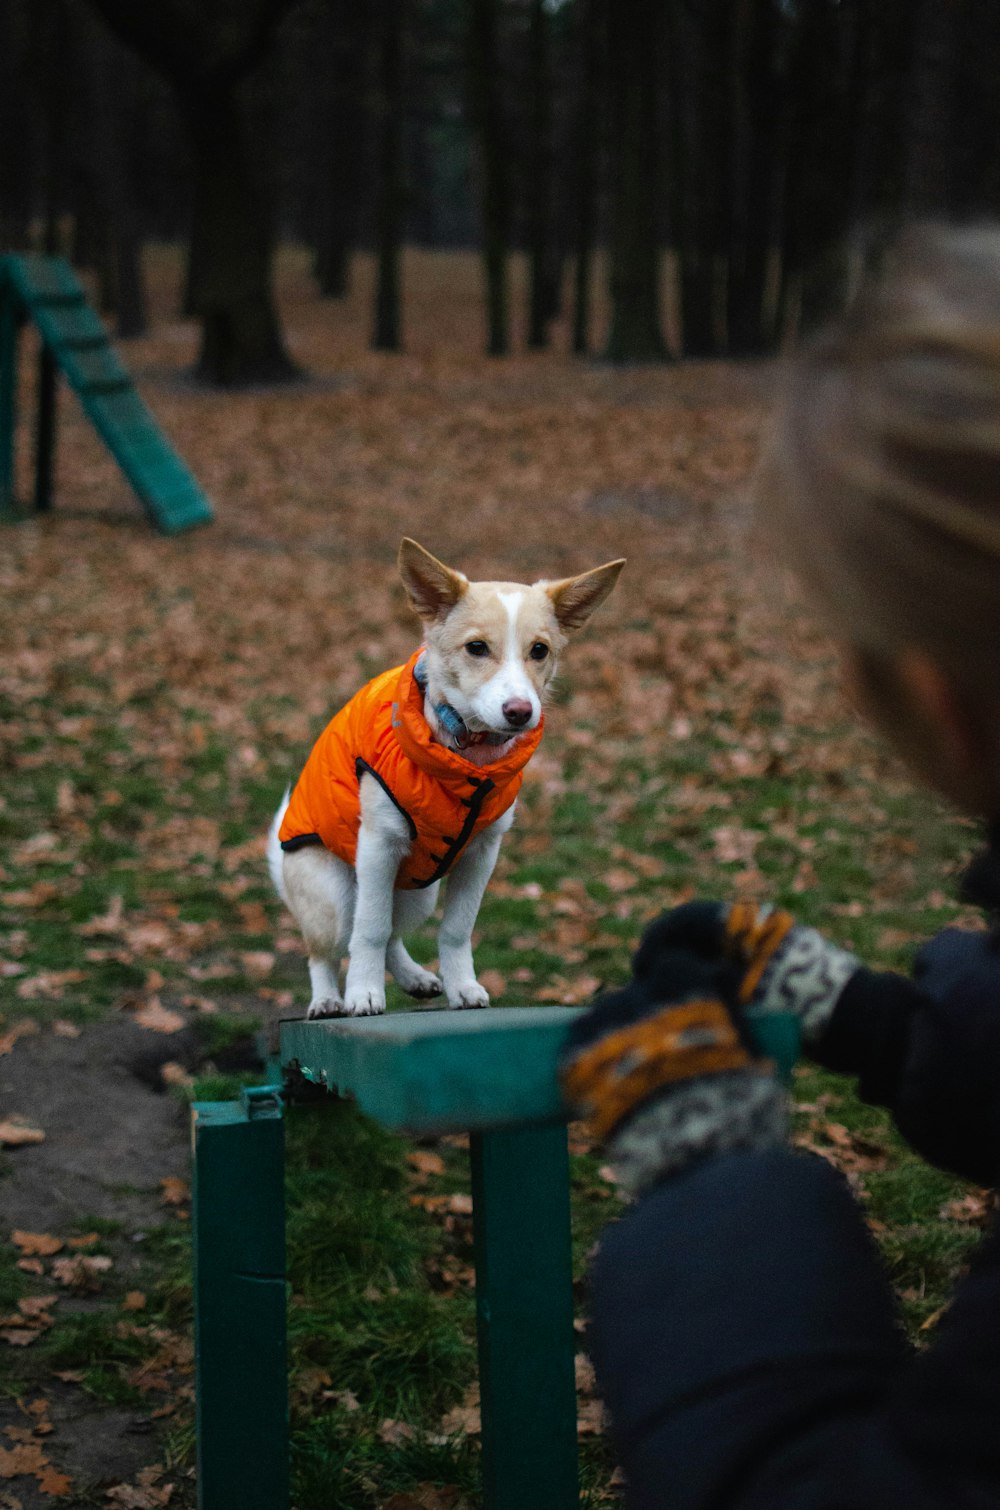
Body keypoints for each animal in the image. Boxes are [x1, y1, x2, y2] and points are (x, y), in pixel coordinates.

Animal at [270, 537, 622, 1020]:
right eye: (476, 647)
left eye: (540, 650)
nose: (520, 712)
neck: (469, 760)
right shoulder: (379, 846)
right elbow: (369, 930)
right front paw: (363, 993)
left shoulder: (481, 853)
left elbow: (455, 929)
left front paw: (463, 987)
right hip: (337, 896)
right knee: (329, 947)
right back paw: (327, 999)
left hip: (418, 893)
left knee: (394, 932)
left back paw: (415, 978)